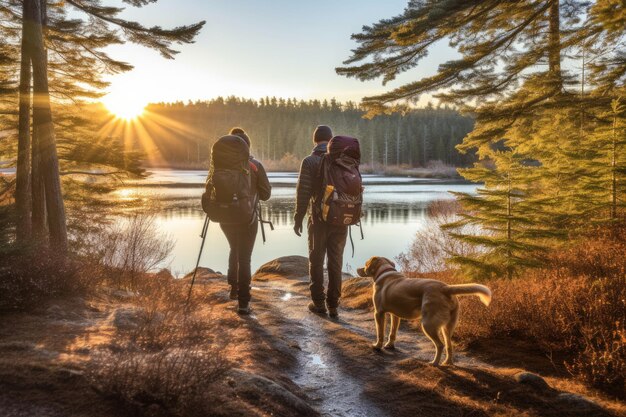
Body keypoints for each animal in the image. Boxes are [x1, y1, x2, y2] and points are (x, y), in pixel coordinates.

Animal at [358, 255, 490, 366]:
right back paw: (447, 363)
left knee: (440, 345)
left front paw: (377, 346)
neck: (384, 271)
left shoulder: (378, 313)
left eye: (365, 264)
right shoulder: (395, 315)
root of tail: (445, 288)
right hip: (447, 327)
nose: (358, 269)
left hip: (428, 325)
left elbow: (380, 333)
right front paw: (390, 345)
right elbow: (392, 333)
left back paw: (434, 363)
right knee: (449, 345)